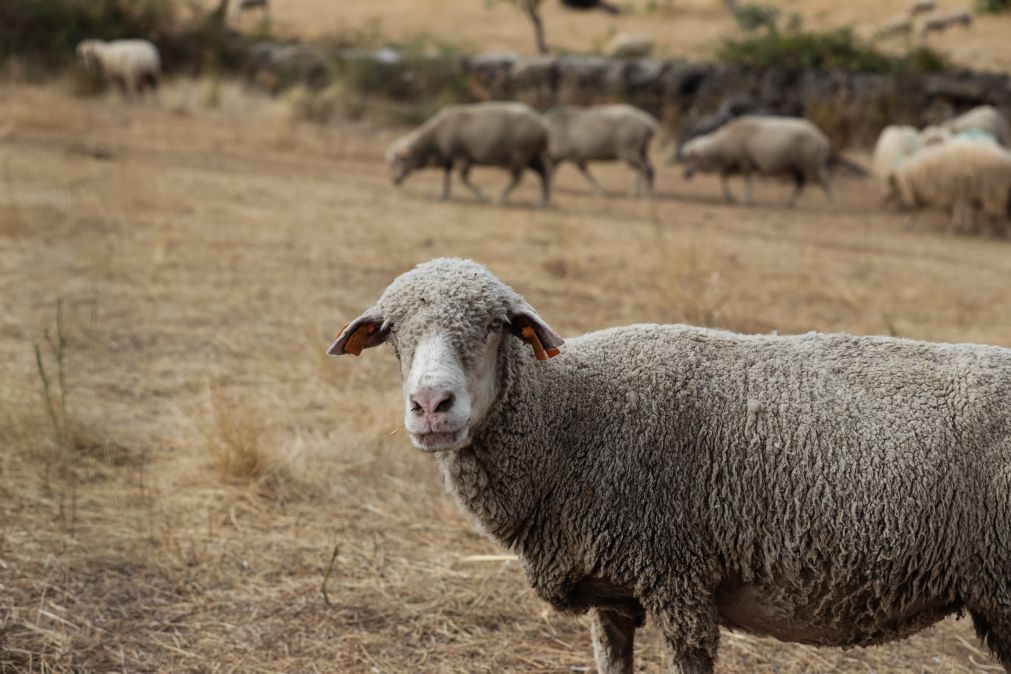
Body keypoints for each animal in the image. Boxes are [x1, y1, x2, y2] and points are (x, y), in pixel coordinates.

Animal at [382, 102, 554, 206]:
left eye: (398, 161)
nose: (394, 180)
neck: (434, 140)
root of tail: (543, 125)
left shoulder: (461, 156)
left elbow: (463, 178)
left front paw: (482, 196)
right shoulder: (448, 157)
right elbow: (446, 176)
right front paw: (443, 195)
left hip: (520, 154)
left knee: (518, 178)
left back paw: (501, 198)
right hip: (533, 155)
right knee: (544, 173)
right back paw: (544, 200)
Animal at [679, 114, 837, 207]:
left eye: (692, 157)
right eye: (685, 158)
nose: (685, 175)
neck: (723, 145)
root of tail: (822, 139)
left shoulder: (745, 162)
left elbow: (747, 181)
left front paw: (745, 200)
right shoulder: (733, 164)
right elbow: (724, 178)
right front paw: (729, 197)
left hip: (808, 163)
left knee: (820, 180)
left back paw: (831, 202)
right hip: (805, 165)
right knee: (804, 182)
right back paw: (790, 202)